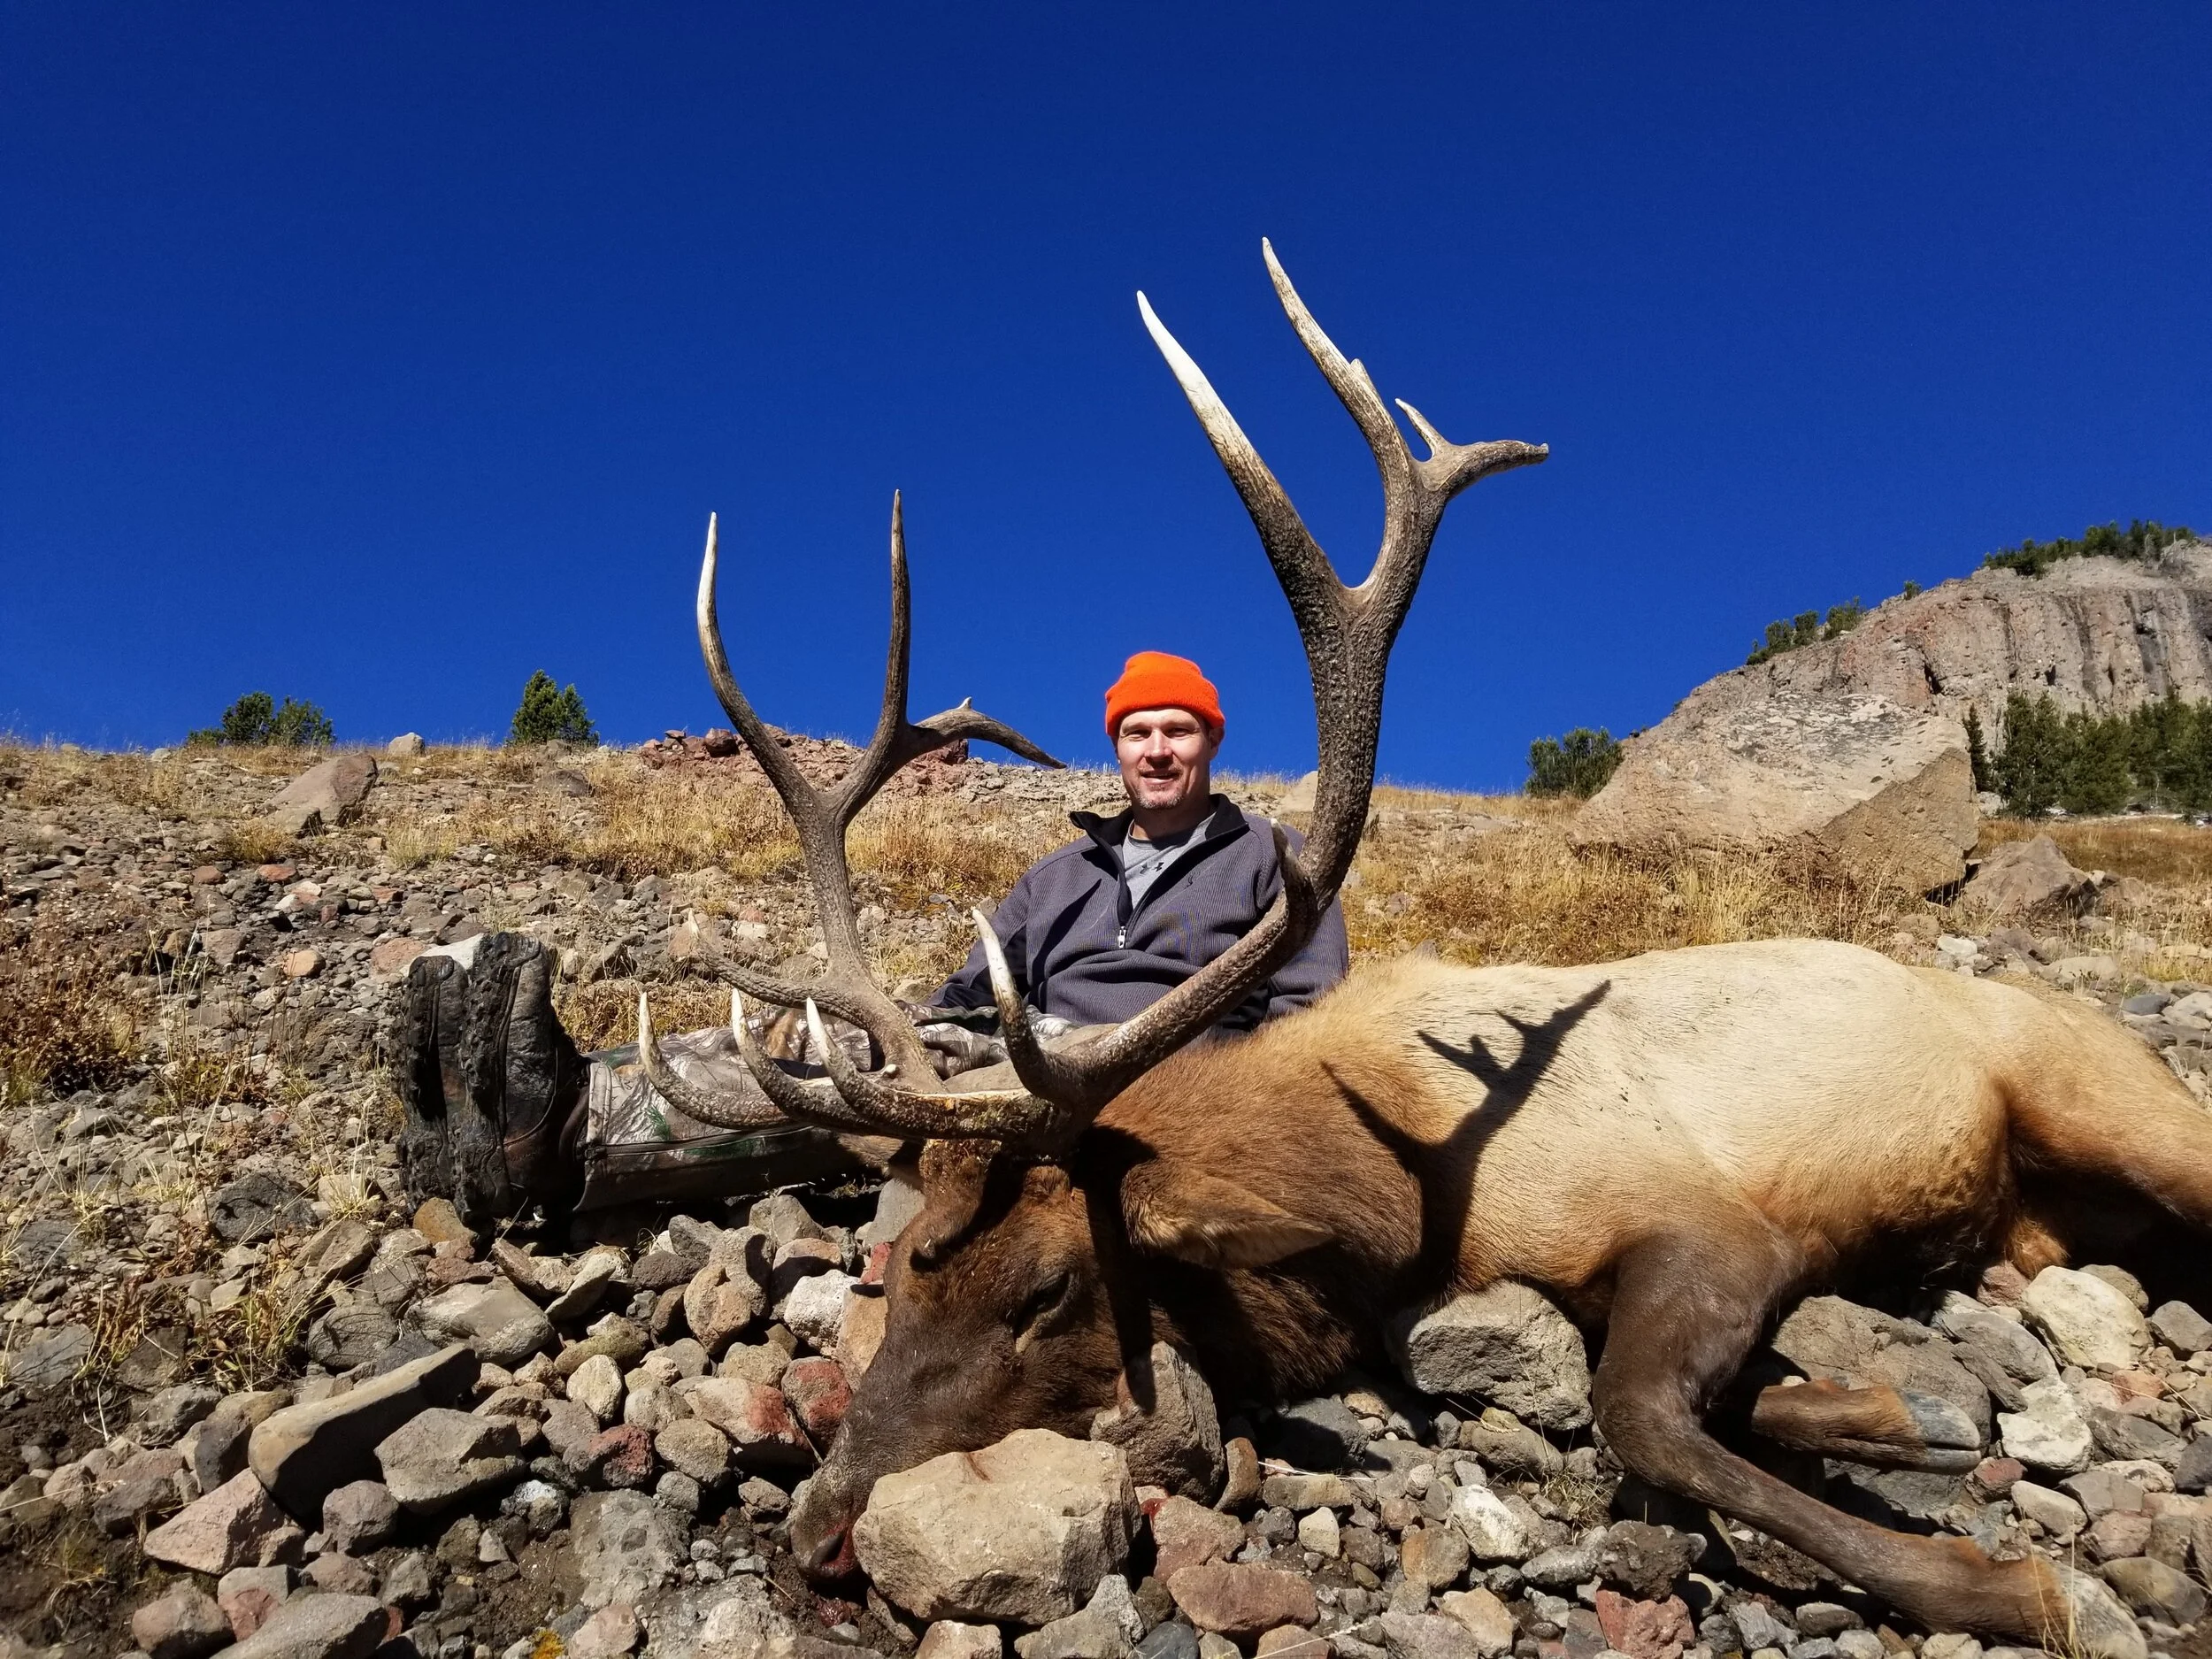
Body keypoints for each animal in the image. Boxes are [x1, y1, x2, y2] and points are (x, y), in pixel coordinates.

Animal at [636, 243, 2212, 1659]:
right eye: (901, 1269)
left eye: (1047, 1293)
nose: (815, 1533)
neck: (1391, 1192)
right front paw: (1885, 1410)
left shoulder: (1706, 1213)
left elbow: (1641, 1413)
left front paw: (2005, 1581)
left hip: (2121, 1100)